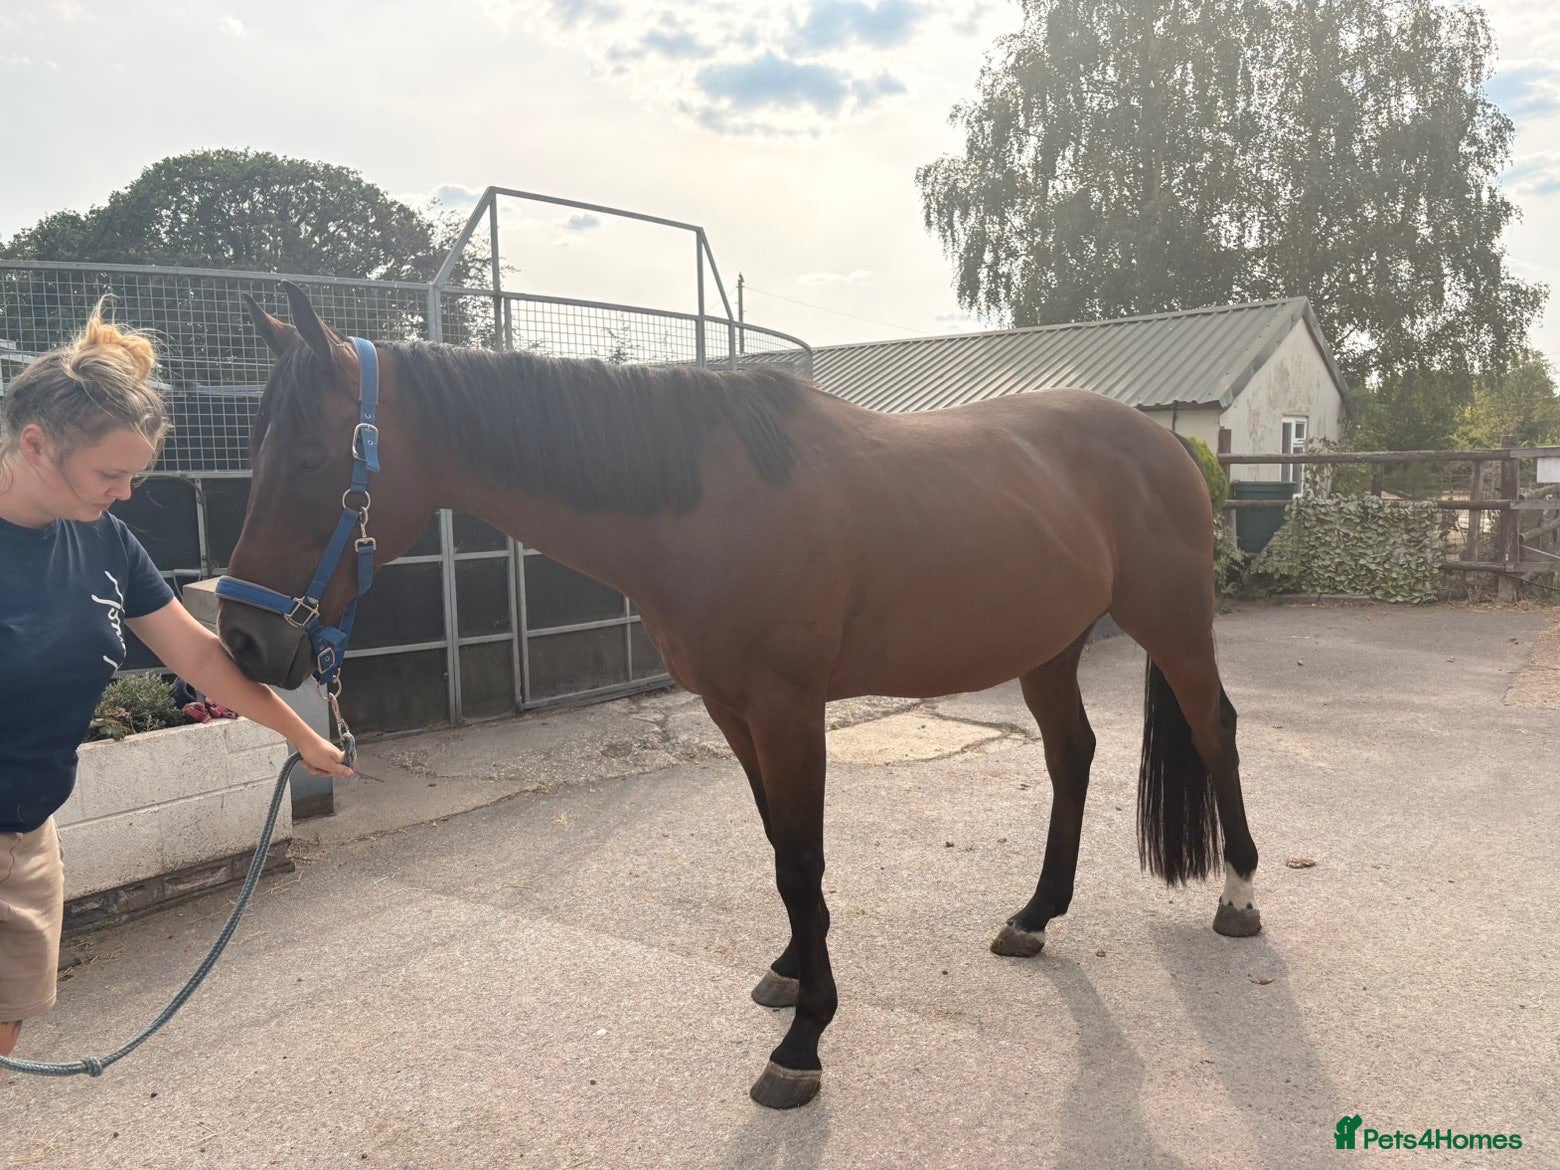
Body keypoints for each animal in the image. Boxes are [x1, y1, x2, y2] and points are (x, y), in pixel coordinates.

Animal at [218, 283, 1261, 1110]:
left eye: (311, 461)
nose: (242, 640)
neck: (705, 502)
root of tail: (1168, 448)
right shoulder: (731, 710)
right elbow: (775, 848)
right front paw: (792, 971)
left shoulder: (789, 708)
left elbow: (802, 861)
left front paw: (803, 1045)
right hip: (1048, 649)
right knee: (1071, 754)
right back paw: (1035, 916)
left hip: (1172, 627)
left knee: (1215, 732)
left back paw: (1240, 896)